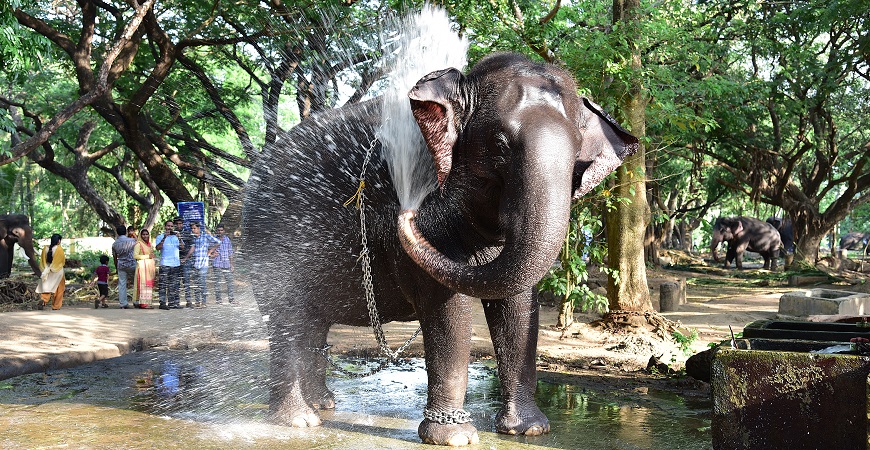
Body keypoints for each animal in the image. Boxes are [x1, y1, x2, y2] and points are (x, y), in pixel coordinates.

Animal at [242, 52, 637, 446]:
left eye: (577, 151)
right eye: (500, 145)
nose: (405, 214)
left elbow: (519, 306)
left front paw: (530, 429)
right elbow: (449, 309)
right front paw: (454, 437)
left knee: (312, 323)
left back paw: (323, 404)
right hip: (270, 241)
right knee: (288, 317)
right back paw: (298, 421)